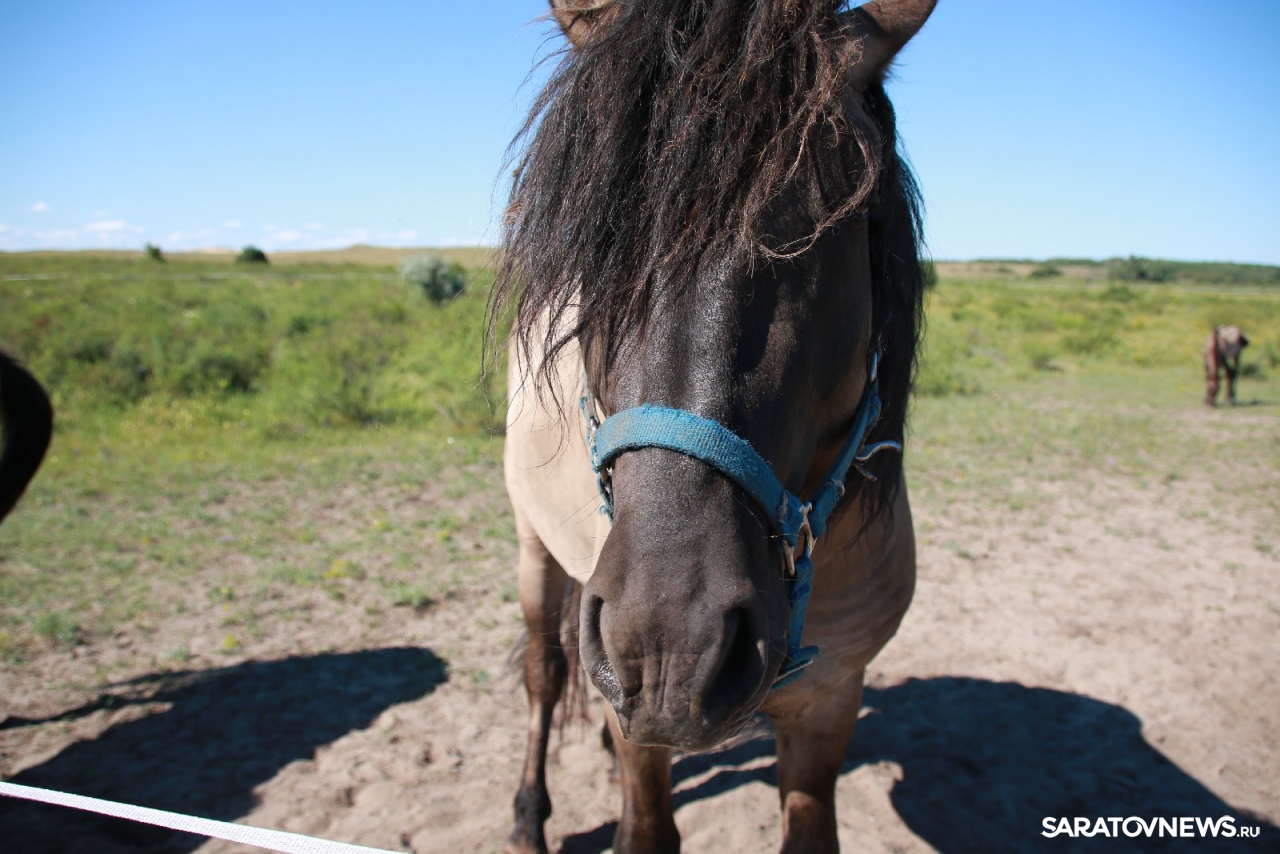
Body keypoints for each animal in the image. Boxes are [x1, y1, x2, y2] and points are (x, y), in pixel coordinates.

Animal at [494, 1, 935, 851]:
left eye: (825, 232)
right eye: (596, 246)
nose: (668, 647)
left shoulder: (832, 699)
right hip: (535, 550)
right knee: (545, 671)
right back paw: (528, 817)